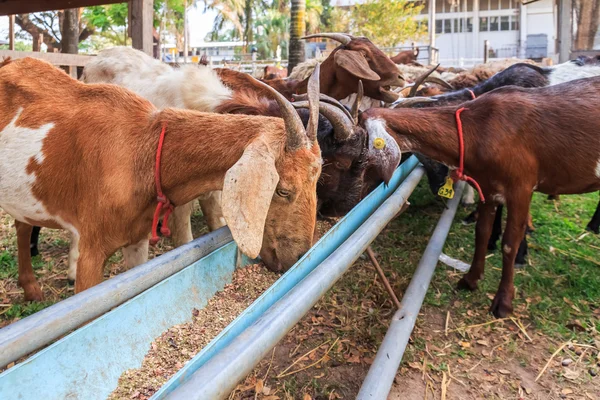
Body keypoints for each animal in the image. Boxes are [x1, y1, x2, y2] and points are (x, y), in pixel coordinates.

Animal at [0, 56, 324, 300]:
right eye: (283, 190)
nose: (297, 257)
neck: (142, 148)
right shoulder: (91, 250)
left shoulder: (137, 240)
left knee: (21, 224)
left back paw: (30, 289)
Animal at [358, 76, 600, 318]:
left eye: (362, 149)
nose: (358, 196)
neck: (478, 127)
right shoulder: (489, 187)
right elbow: (482, 231)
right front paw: (470, 279)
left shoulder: (521, 188)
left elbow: (510, 243)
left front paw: (503, 303)